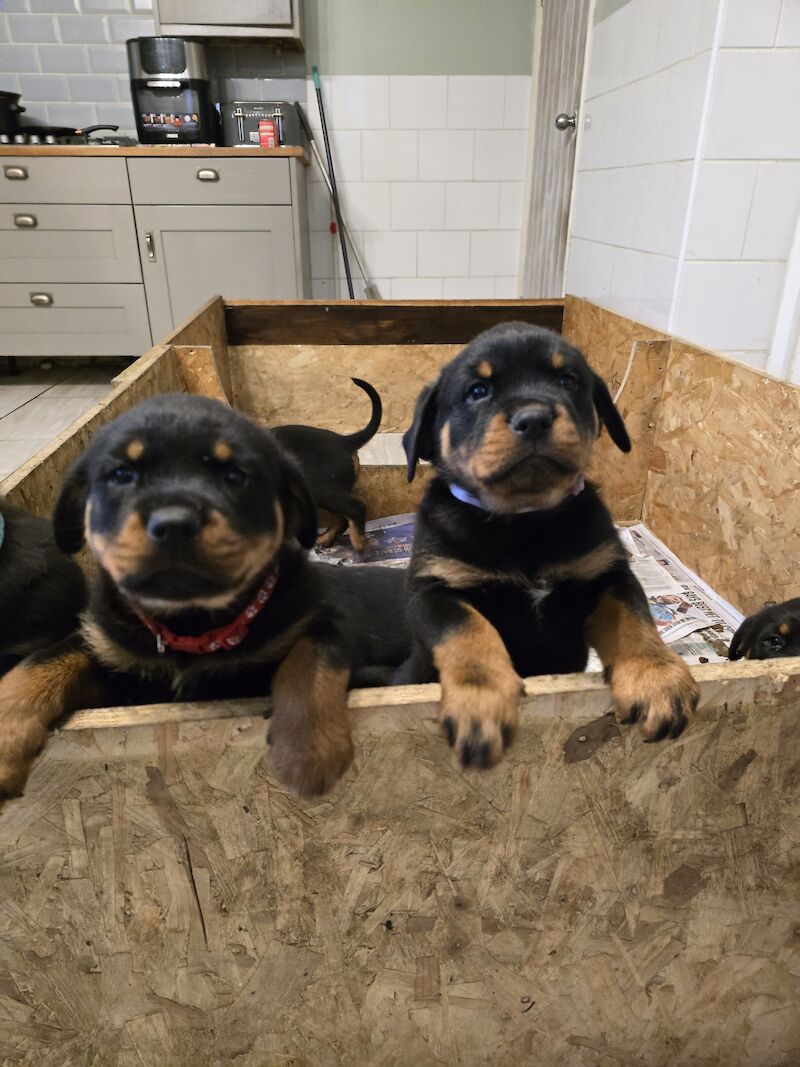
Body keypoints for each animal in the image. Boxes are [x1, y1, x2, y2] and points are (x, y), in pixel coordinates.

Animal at [275, 375, 384, 554]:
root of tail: (344, 441)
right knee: (341, 519)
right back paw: (325, 540)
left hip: (322, 489)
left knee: (356, 508)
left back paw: (360, 543)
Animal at [403, 320, 699, 772]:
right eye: (477, 390)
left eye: (567, 381)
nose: (534, 417)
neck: (527, 519)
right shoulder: (435, 588)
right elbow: (469, 629)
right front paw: (481, 700)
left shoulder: (607, 574)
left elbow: (634, 621)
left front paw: (657, 679)